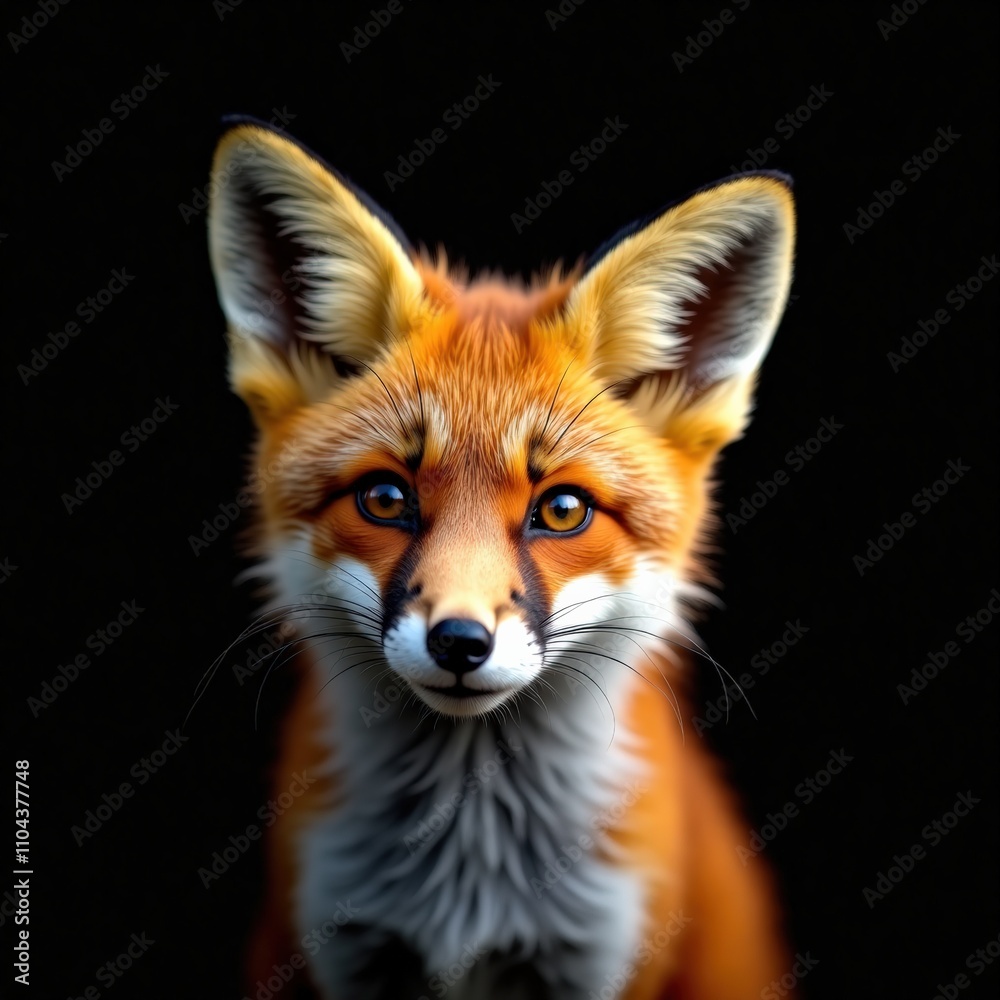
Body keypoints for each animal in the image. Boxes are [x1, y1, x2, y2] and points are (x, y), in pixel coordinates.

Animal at [205, 117, 797, 1000]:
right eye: (386, 498)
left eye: (562, 510)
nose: (459, 642)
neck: (469, 892)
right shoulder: (340, 947)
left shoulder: (598, 958)